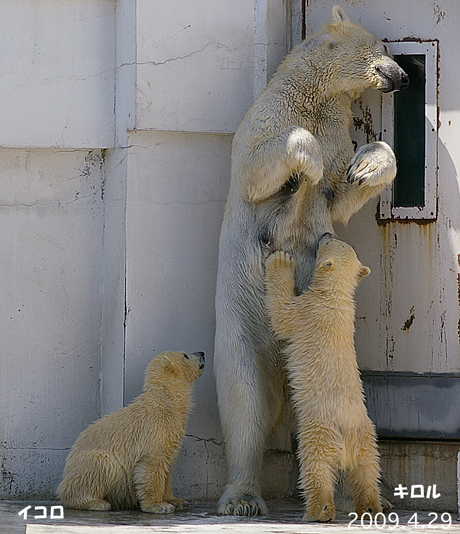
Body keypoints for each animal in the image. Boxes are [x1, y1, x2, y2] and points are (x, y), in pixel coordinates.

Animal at [58, 352, 205, 516]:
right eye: (185, 355)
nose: (202, 353)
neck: (166, 401)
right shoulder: (154, 430)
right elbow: (152, 466)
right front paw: (158, 505)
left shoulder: (172, 436)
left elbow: (167, 468)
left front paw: (176, 501)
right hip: (88, 463)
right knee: (103, 466)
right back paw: (95, 502)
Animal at [266, 238, 380, 524]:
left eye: (329, 240)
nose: (326, 233)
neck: (334, 297)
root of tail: (347, 442)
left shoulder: (305, 312)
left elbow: (281, 314)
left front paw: (281, 260)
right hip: (367, 437)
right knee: (367, 470)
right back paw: (371, 508)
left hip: (318, 431)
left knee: (315, 466)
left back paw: (320, 510)